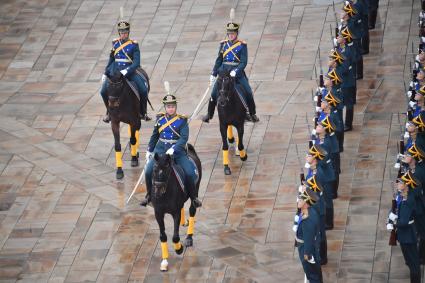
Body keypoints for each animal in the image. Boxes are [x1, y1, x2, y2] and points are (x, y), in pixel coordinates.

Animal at [151, 144, 200, 272]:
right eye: (154, 170)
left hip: (195, 191)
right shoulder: (158, 213)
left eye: (167, 169)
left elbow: (175, 237)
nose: (158, 190)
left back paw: (189, 238)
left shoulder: (175, 212)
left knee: (192, 209)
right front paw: (164, 261)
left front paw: (179, 248)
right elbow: (163, 236)